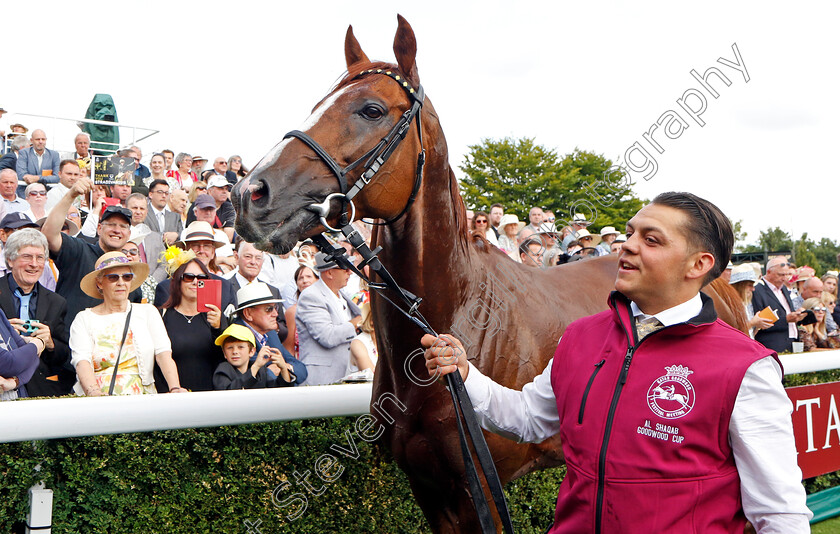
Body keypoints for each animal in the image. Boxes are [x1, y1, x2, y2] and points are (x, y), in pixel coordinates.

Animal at [231, 14, 748, 532]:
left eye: (371, 110)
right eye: (316, 106)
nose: (250, 193)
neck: (458, 311)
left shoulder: (480, 491)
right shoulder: (431, 493)